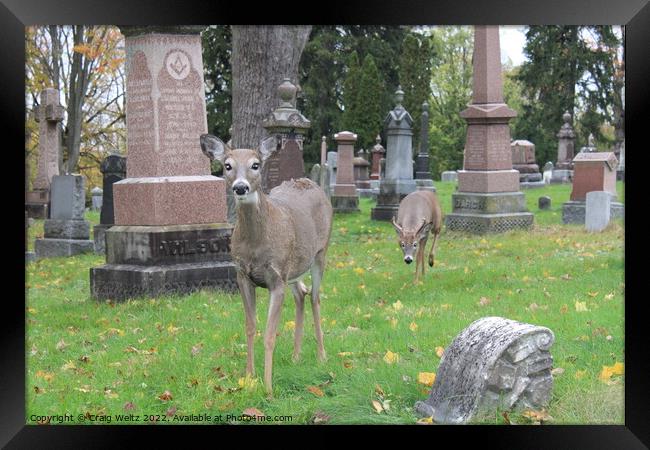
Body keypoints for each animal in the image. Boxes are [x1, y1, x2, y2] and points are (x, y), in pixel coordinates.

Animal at [200, 133, 332, 394]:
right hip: (293, 267)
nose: (240, 187)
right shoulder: (243, 276)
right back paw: (296, 356)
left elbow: (270, 334)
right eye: (227, 165)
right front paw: (249, 378)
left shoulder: (276, 279)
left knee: (315, 296)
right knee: (301, 294)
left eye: (255, 164)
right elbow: (250, 327)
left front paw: (268, 388)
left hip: (320, 253)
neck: (256, 244)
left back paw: (322, 356)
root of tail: (311, 183)